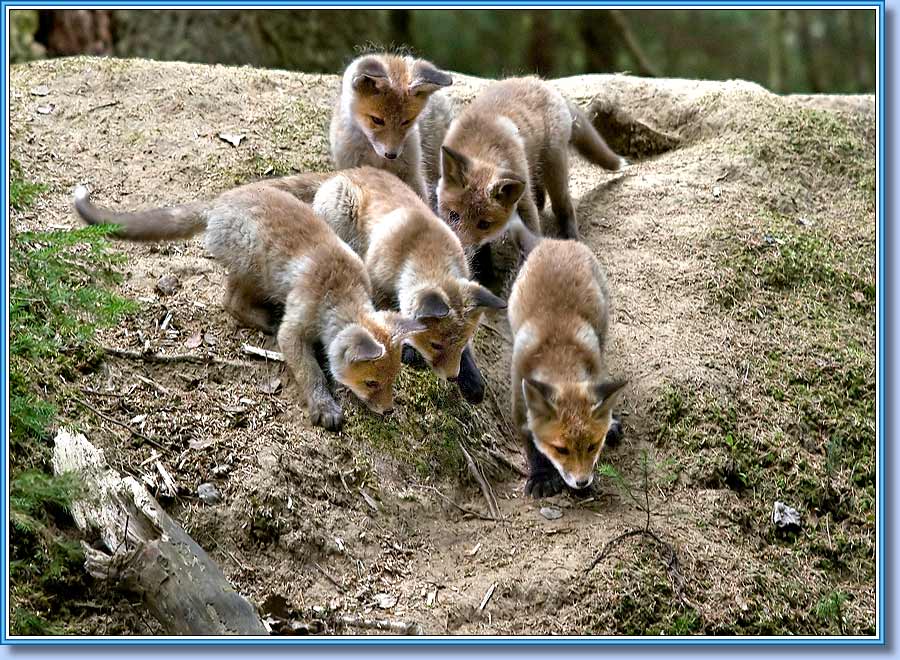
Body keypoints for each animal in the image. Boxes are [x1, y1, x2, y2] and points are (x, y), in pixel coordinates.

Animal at [72, 183, 427, 432]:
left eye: (393, 380)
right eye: (371, 383)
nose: (388, 409)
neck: (337, 291)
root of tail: (219, 201)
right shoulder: (293, 332)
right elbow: (310, 371)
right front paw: (324, 407)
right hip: (253, 267)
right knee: (230, 302)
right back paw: (264, 319)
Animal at [302, 166, 506, 404]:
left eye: (462, 343)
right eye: (435, 345)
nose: (453, 377)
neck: (426, 249)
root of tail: (351, 170)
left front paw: (471, 377)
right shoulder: (377, 285)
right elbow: (392, 319)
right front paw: (407, 349)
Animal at [436, 77, 626, 270]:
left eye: (484, 224)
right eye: (453, 215)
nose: (460, 252)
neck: (481, 145)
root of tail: (540, 81)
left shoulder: (524, 201)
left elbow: (530, 235)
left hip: (553, 165)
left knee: (563, 206)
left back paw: (571, 238)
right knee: (541, 194)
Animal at [507, 219, 627, 497]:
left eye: (593, 446)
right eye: (560, 449)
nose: (582, 482)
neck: (557, 354)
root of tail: (551, 241)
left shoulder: (595, 367)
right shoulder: (519, 399)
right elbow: (531, 445)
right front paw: (541, 476)